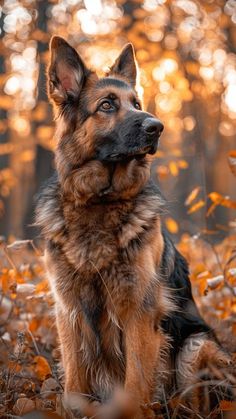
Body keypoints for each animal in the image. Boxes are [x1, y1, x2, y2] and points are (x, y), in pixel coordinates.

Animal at [36, 37, 231, 418]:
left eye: (137, 104)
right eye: (107, 105)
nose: (157, 126)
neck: (100, 202)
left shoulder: (140, 311)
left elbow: (137, 384)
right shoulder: (68, 310)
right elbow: (74, 385)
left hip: (195, 344)